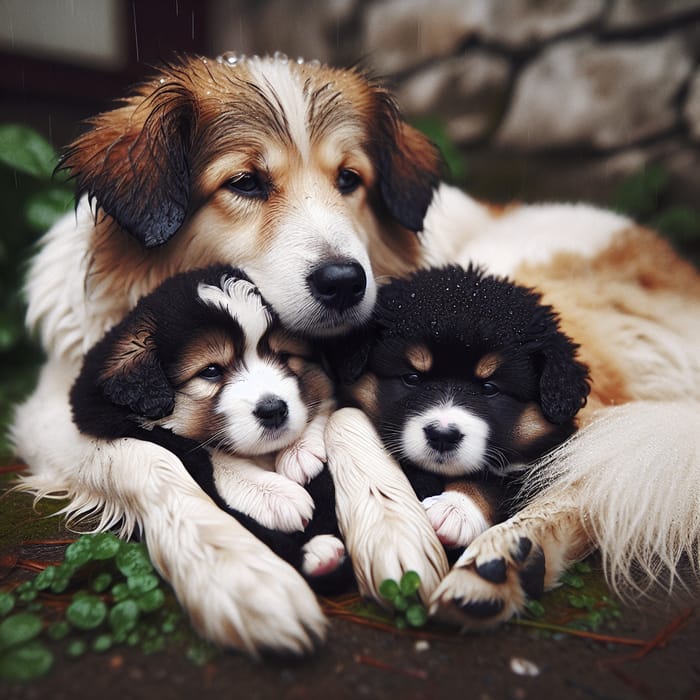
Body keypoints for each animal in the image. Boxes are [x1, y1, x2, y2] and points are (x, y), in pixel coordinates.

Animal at [71, 266, 350, 592]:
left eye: (284, 356)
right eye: (211, 371)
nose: (274, 410)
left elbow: (324, 393)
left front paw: (299, 450)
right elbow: (208, 453)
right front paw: (274, 494)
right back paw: (316, 553)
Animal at [330, 262, 588, 580]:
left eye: (489, 388)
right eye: (412, 377)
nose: (442, 435)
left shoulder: (544, 466)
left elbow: (495, 481)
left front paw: (455, 509)